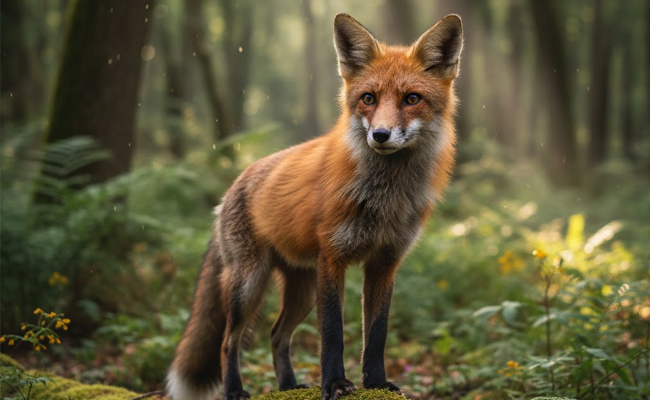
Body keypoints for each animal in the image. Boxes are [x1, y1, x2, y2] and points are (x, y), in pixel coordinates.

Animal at [166, 12, 463, 400]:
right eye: (368, 98)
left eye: (412, 98)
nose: (380, 135)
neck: (385, 198)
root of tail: (233, 185)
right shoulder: (332, 258)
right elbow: (333, 334)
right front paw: (335, 383)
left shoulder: (385, 263)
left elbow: (377, 334)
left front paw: (376, 382)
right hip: (249, 284)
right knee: (229, 341)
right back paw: (235, 390)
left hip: (301, 291)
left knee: (277, 335)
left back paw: (289, 385)